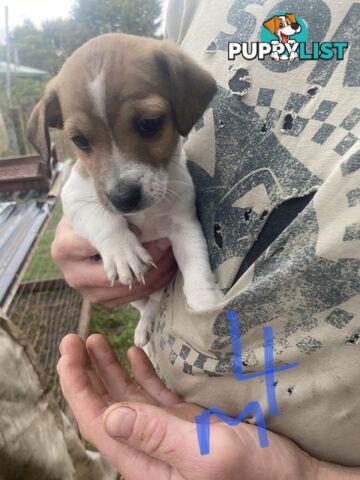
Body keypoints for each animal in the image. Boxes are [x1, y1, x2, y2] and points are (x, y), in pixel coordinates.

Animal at [28, 34, 224, 348]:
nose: (123, 198)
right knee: (147, 306)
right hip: (134, 297)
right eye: (79, 140)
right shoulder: (75, 198)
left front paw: (205, 302)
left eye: (149, 123)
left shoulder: (184, 226)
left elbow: (196, 266)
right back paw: (144, 325)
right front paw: (122, 251)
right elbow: (103, 220)